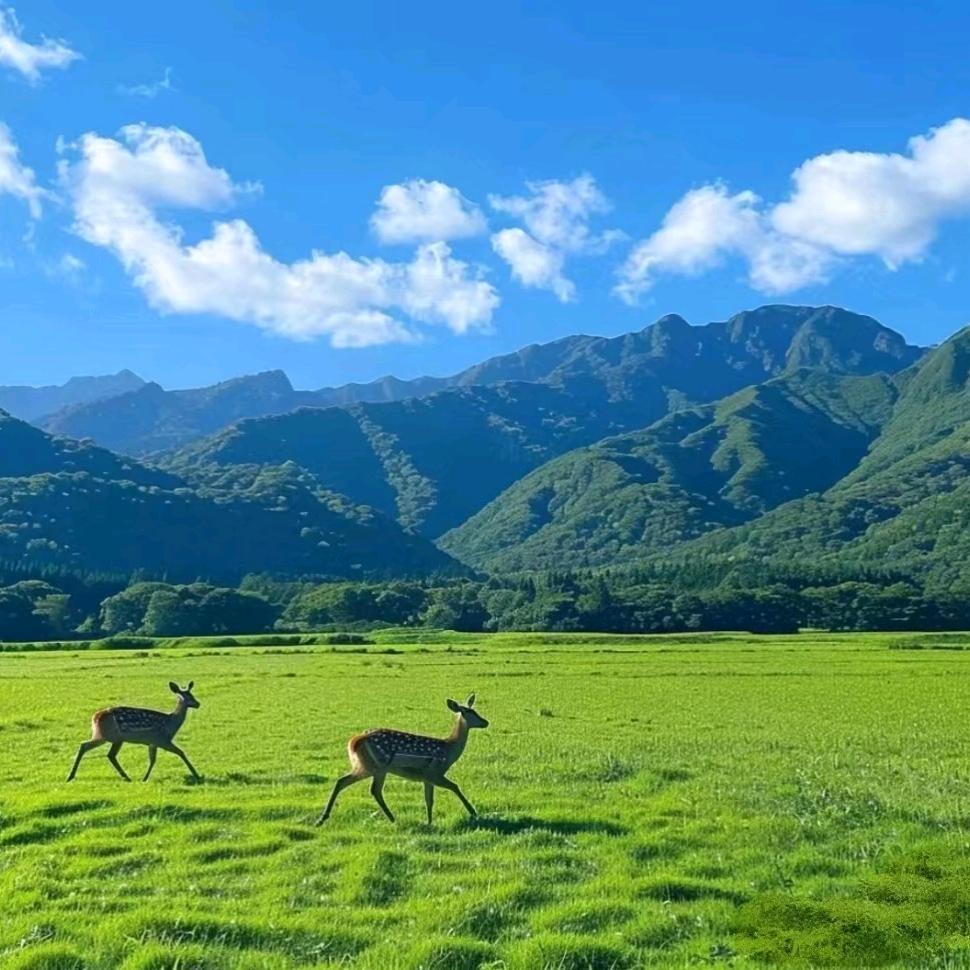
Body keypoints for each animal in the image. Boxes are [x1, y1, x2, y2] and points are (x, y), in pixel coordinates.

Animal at [66, 682, 201, 783]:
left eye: (192, 694)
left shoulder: (153, 743)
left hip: (106, 736)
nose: (198, 703)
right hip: (112, 736)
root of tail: (95, 717)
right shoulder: (162, 739)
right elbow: (181, 752)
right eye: (184, 697)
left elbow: (152, 760)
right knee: (105, 753)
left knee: (93, 748)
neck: (171, 725)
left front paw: (145, 778)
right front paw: (197, 775)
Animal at [315, 694, 488, 825]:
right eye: (469, 712)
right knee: (374, 790)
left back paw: (322, 818)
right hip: (379, 765)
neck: (449, 751)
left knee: (343, 781)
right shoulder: (434, 771)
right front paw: (473, 812)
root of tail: (355, 741)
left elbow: (429, 800)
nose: (486, 722)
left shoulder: (427, 778)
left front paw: (429, 821)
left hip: (365, 766)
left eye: (475, 710)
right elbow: (455, 787)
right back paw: (392, 818)